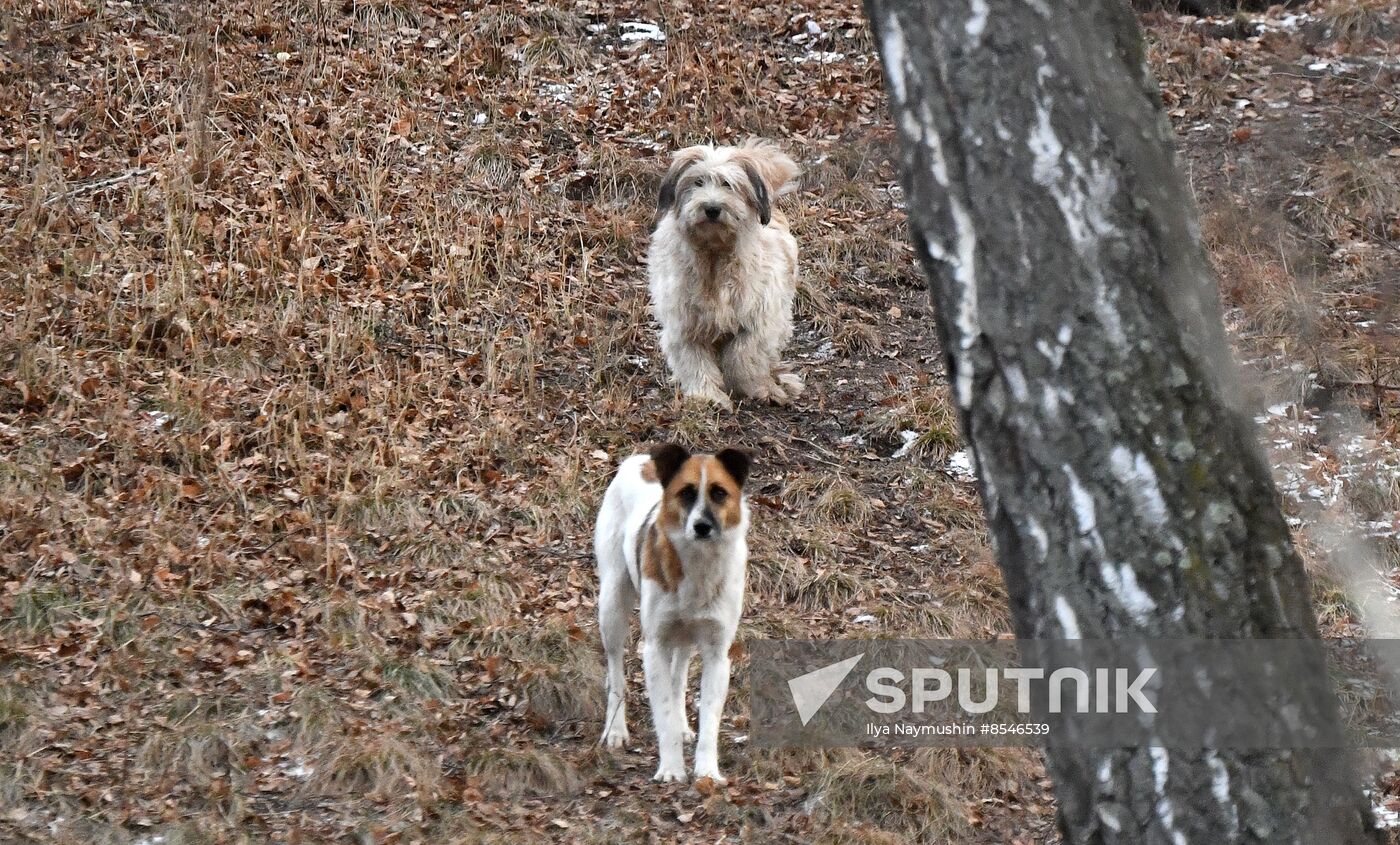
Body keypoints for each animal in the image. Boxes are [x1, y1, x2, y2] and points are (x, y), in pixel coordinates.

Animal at [593, 444, 750, 783]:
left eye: (719, 493)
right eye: (686, 493)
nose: (702, 526)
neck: (698, 566)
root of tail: (641, 459)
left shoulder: (717, 653)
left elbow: (709, 719)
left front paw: (707, 771)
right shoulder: (655, 647)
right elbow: (662, 713)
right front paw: (671, 769)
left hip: (686, 635)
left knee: (678, 678)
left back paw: (682, 725)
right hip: (612, 604)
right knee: (615, 670)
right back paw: (615, 729)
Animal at [649, 139, 806, 408]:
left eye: (728, 184)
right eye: (698, 182)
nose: (712, 208)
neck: (714, 255)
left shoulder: (759, 319)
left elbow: (742, 355)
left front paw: (751, 386)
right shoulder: (684, 325)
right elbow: (695, 362)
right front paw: (708, 396)